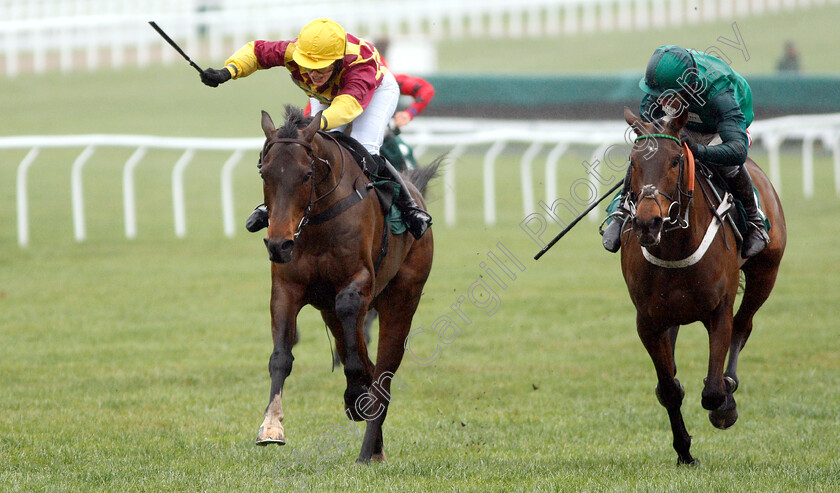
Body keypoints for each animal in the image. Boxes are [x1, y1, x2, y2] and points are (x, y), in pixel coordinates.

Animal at [254, 105, 440, 464]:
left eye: (306, 175)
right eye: (265, 173)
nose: (279, 244)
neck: (316, 221)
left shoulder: (359, 282)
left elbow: (352, 321)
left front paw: (355, 396)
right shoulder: (285, 288)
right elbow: (281, 356)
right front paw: (271, 427)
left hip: (403, 298)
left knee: (383, 375)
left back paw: (368, 450)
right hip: (330, 310)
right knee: (366, 362)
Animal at [616, 105, 788, 464]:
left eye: (675, 160)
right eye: (633, 161)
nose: (647, 222)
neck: (675, 246)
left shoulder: (718, 311)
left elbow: (712, 391)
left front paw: (724, 405)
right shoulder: (647, 320)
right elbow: (669, 389)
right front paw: (684, 451)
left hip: (766, 273)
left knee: (744, 324)